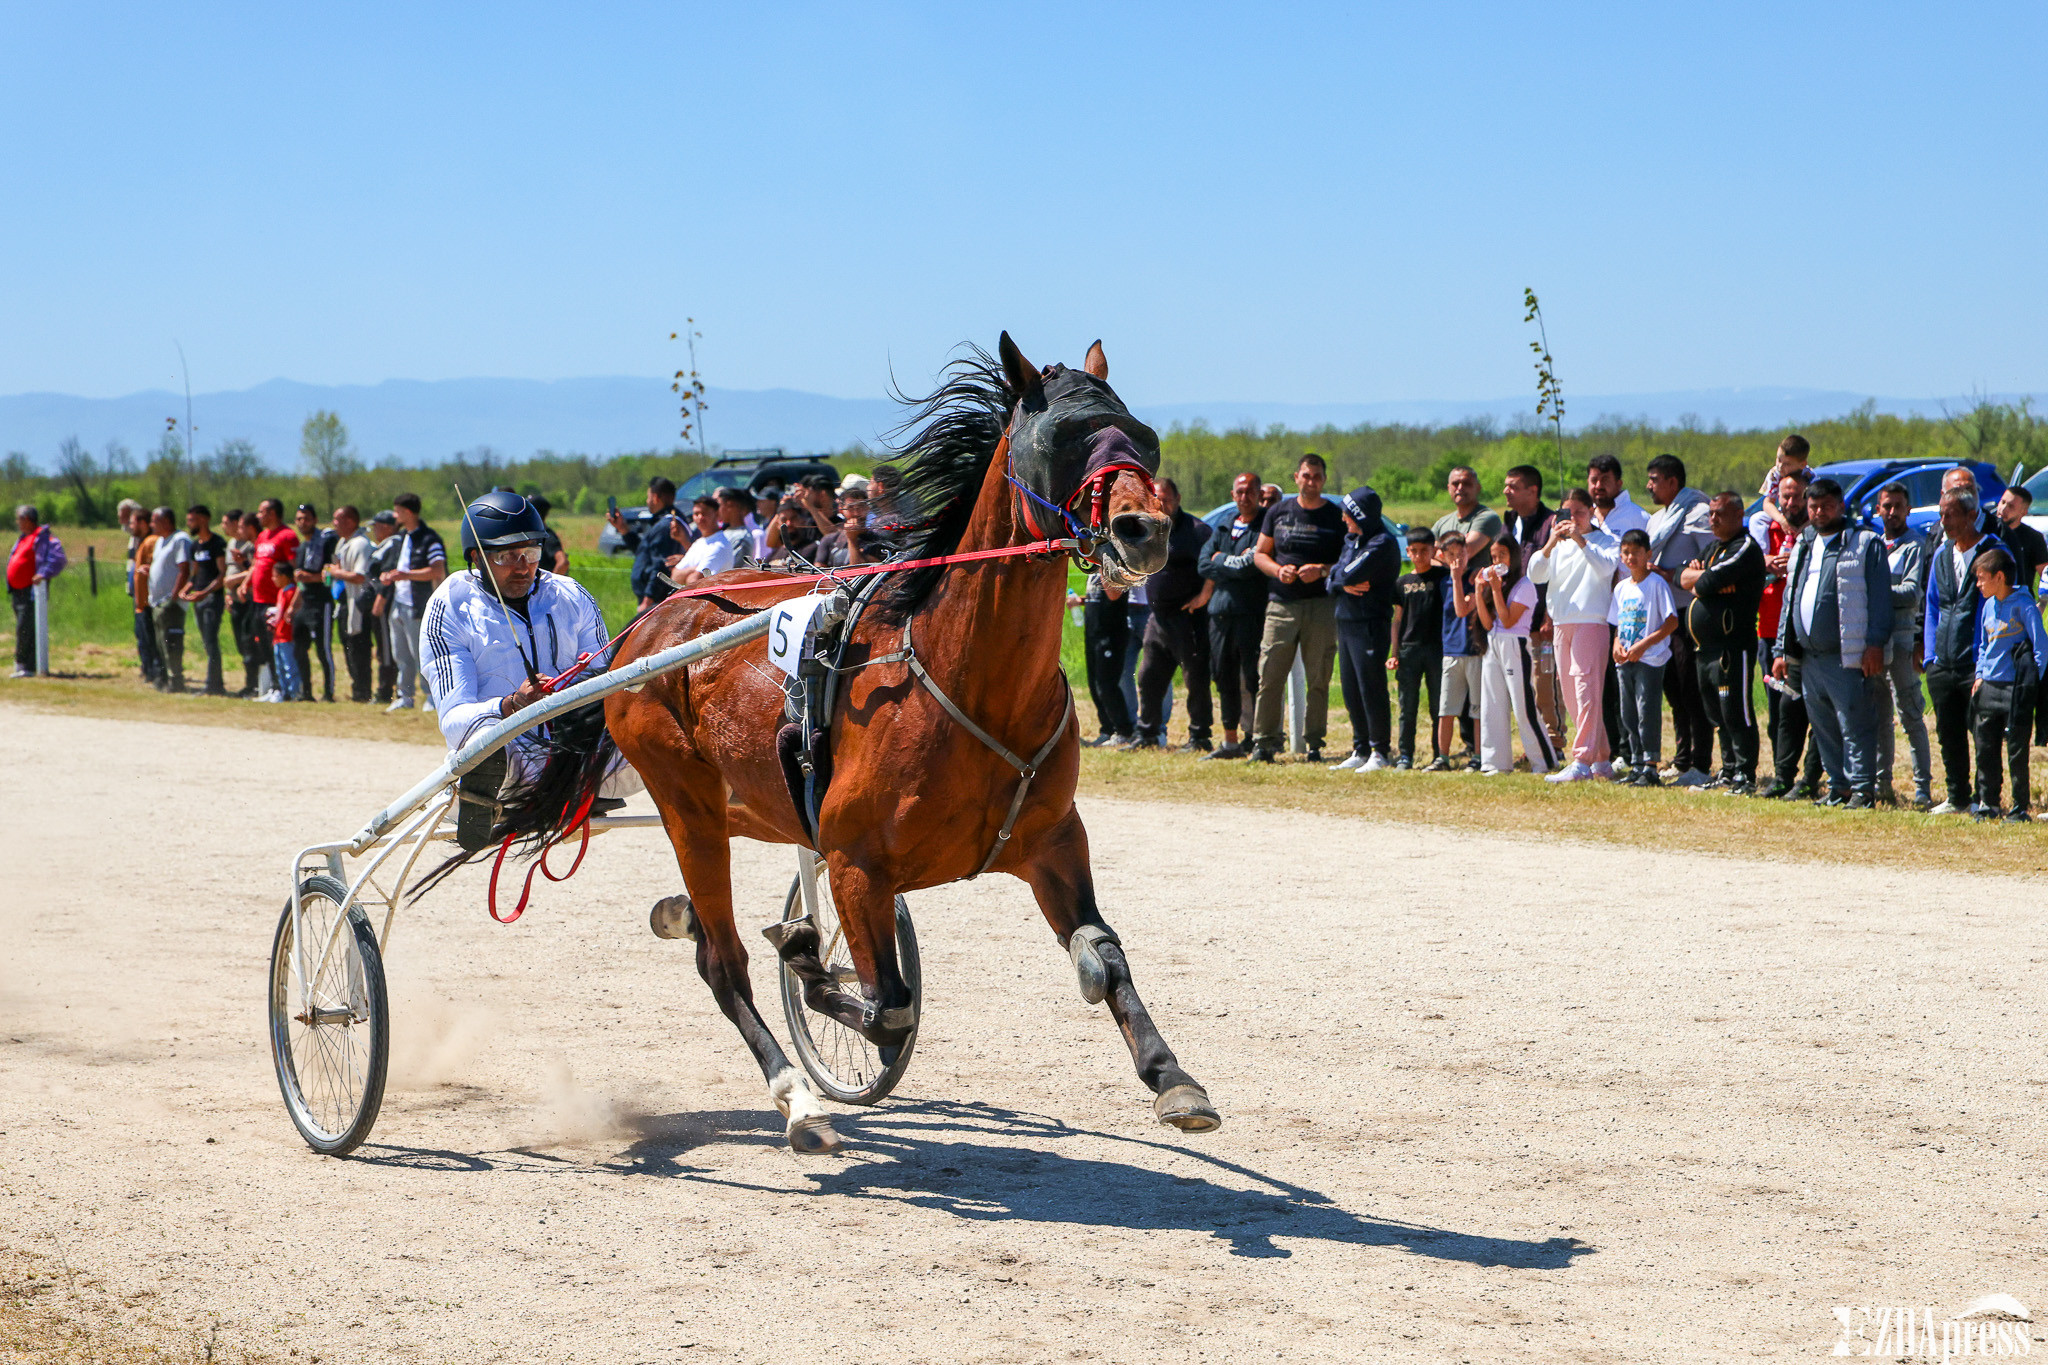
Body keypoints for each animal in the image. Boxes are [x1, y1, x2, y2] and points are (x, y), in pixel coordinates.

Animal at [524, 334, 1220, 1153]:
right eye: (1063, 438)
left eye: (1143, 436)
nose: (1146, 529)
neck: (968, 681)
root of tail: (652, 618)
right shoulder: (858, 864)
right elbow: (887, 1004)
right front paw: (808, 964)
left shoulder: (1051, 840)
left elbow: (1103, 954)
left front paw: (1172, 1077)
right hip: (684, 799)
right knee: (723, 962)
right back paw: (796, 1096)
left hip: (744, 802)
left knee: (711, 920)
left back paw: (685, 916)